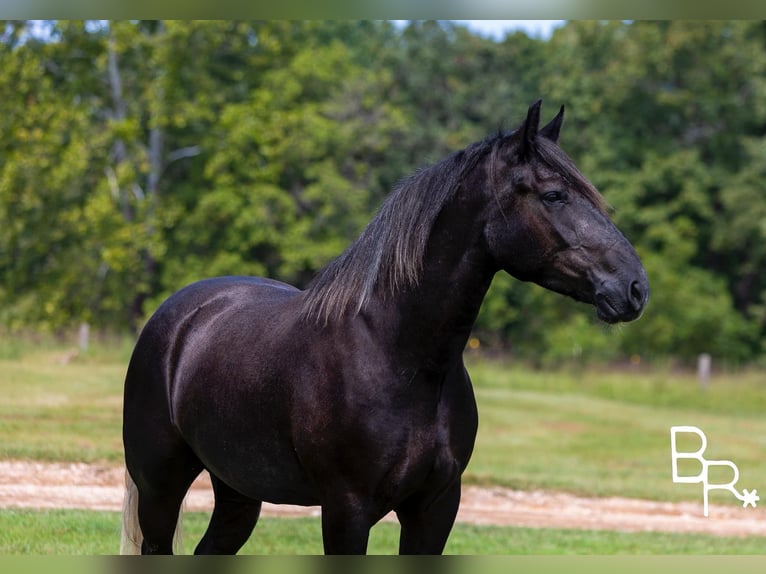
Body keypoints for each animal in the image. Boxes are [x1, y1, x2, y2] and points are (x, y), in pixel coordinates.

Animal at [120, 100, 649, 555]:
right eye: (554, 195)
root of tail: (177, 315)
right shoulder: (347, 511)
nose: (635, 287)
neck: (398, 354)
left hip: (237, 489)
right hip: (161, 485)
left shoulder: (435, 507)